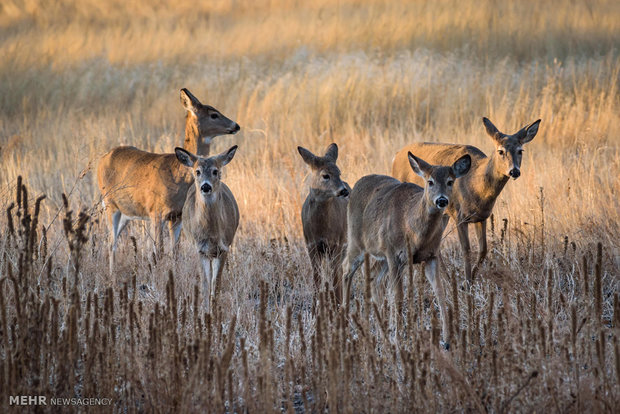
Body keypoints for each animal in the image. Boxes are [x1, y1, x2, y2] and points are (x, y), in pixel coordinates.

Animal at [97, 89, 240, 274]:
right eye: (214, 114)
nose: (236, 125)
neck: (178, 175)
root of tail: (102, 158)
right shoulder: (155, 212)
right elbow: (158, 251)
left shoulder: (177, 215)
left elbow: (175, 251)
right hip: (109, 204)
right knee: (111, 243)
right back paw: (112, 276)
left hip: (126, 212)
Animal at [176, 144, 241, 308]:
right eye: (197, 171)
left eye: (215, 171)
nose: (205, 187)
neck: (211, 234)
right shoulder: (200, 249)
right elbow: (205, 284)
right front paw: (205, 309)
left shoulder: (223, 248)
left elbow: (215, 284)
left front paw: (214, 309)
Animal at [300, 143, 352, 304]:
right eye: (325, 175)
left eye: (339, 172)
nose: (343, 191)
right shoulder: (311, 245)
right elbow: (317, 279)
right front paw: (315, 306)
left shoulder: (337, 244)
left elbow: (335, 278)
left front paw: (337, 305)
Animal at [344, 150, 470, 348]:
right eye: (430, 181)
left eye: (450, 181)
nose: (442, 200)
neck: (412, 229)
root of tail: (357, 184)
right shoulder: (394, 254)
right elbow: (398, 295)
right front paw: (398, 339)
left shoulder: (431, 255)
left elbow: (441, 293)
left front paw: (447, 340)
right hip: (357, 241)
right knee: (346, 270)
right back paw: (344, 322)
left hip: (382, 256)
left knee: (374, 278)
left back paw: (382, 333)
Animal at [392, 116, 544, 284]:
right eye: (501, 151)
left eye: (520, 150)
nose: (514, 171)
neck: (476, 187)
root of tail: (396, 155)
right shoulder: (460, 215)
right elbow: (466, 250)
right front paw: (467, 282)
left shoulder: (482, 217)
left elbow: (483, 250)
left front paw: (472, 278)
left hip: (442, 214)